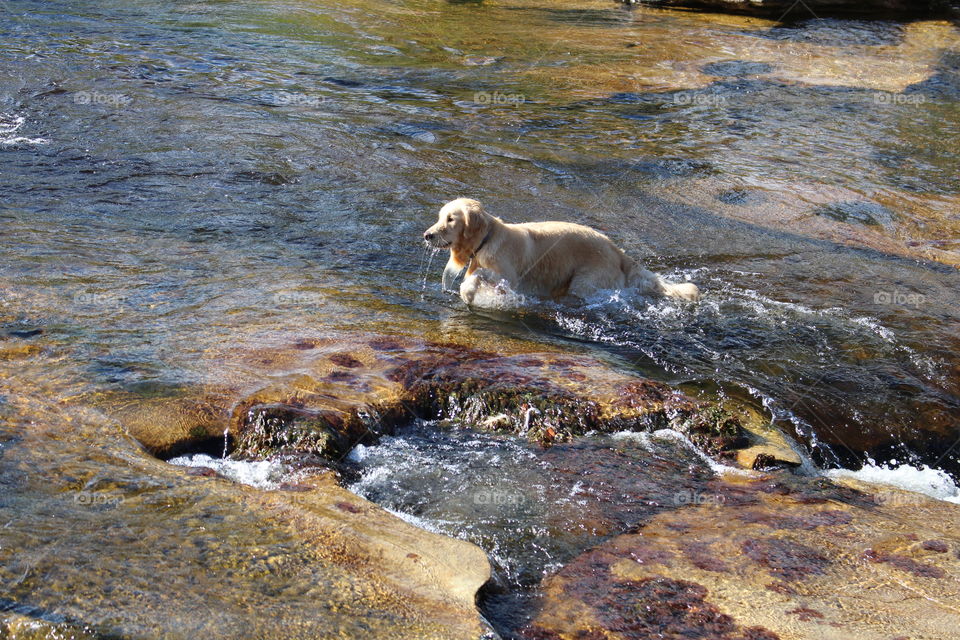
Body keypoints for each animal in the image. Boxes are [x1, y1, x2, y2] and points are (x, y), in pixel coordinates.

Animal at [424, 199, 700, 306]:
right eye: (439, 217)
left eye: (450, 219)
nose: (427, 235)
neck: (487, 239)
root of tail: (617, 250)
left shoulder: (509, 277)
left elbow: (479, 275)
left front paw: (467, 292)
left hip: (586, 281)